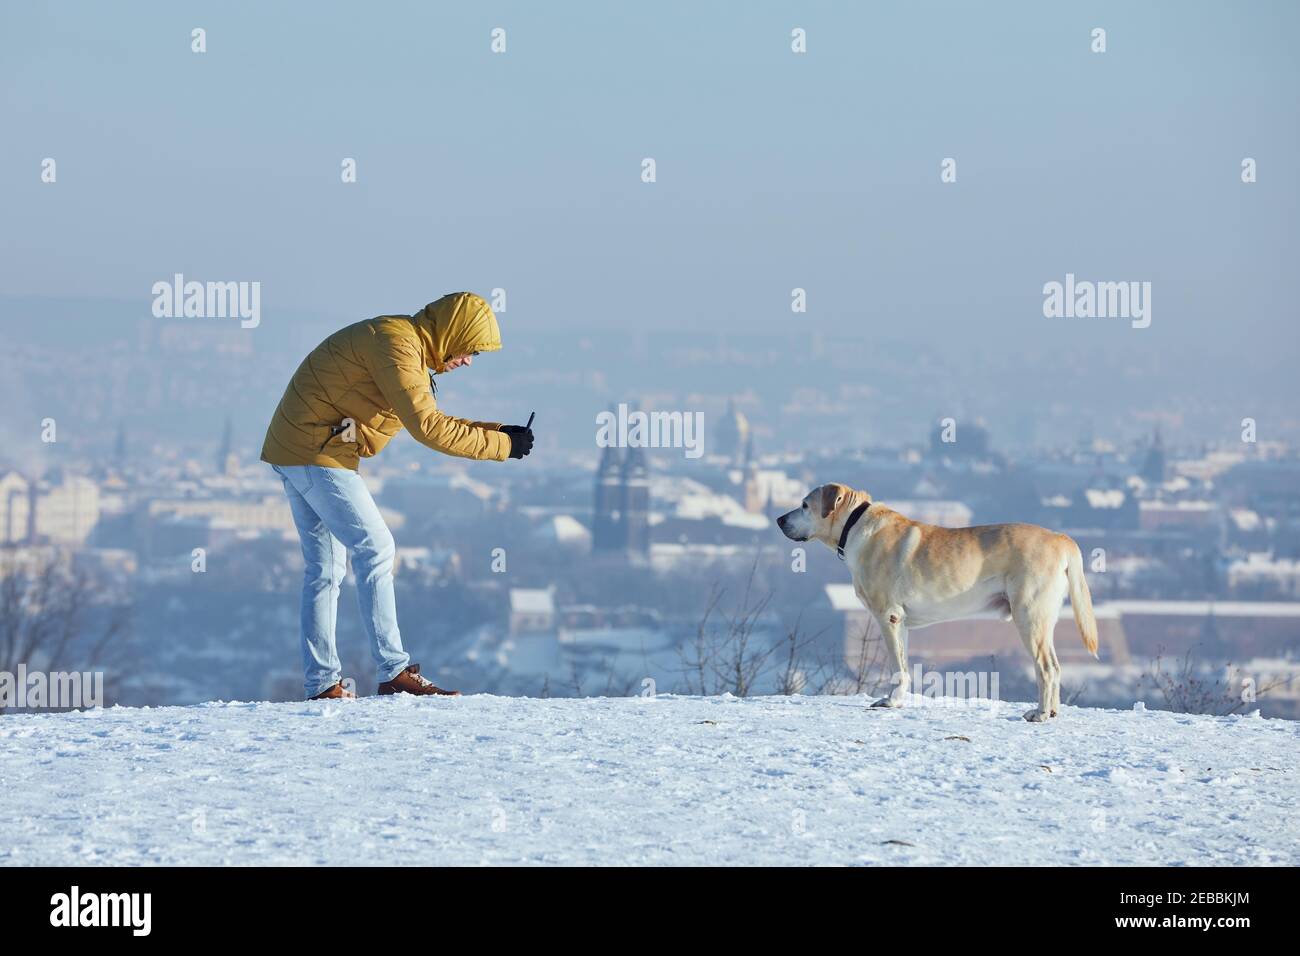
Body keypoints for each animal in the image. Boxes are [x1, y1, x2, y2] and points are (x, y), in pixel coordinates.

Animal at [774, 481, 1102, 723]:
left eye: (805, 505)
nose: (778, 519)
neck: (853, 526)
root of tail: (1060, 539)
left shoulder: (888, 616)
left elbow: (896, 665)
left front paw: (890, 702)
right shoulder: (901, 622)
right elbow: (904, 663)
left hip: (1029, 616)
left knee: (1046, 668)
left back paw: (1041, 714)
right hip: (1044, 620)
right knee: (1056, 666)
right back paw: (1053, 711)